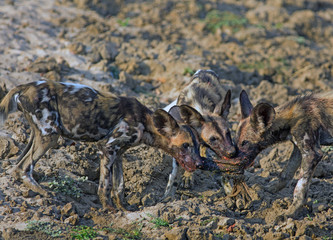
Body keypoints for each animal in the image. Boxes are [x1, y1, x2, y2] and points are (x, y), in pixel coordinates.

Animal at [0, 80, 202, 210]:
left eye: (198, 145)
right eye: (185, 145)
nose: (201, 163)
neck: (144, 122)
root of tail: (25, 86)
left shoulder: (118, 153)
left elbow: (119, 186)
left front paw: (124, 208)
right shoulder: (107, 148)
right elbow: (105, 185)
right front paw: (109, 210)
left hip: (39, 135)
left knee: (17, 165)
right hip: (50, 137)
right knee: (23, 167)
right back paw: (45, 193)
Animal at [226, 90, 332, 219]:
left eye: (245, 143)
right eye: (236, 142)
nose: (233, 159)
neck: (291, 118)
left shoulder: (312, 154)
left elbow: (300, 188)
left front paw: (291, 212)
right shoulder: (298, 149)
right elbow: (285, 174)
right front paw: (269, 190)